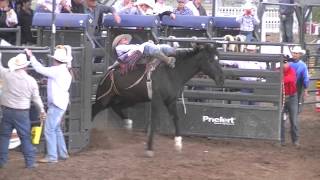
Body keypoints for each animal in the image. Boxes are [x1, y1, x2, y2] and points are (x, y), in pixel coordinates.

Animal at [91, 43, 224, 156]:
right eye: (210, 60)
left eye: (218, 59)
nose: (221, 79)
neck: (172, 72)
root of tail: (106, 73)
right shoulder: (156, 100)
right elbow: (154, 122)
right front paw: (149, 148)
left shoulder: (171, 101)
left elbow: (176, 118)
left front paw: (178, 143)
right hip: (104, 98)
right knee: (94, 109)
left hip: (127, 99)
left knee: (116, 107)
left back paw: (128, 124)